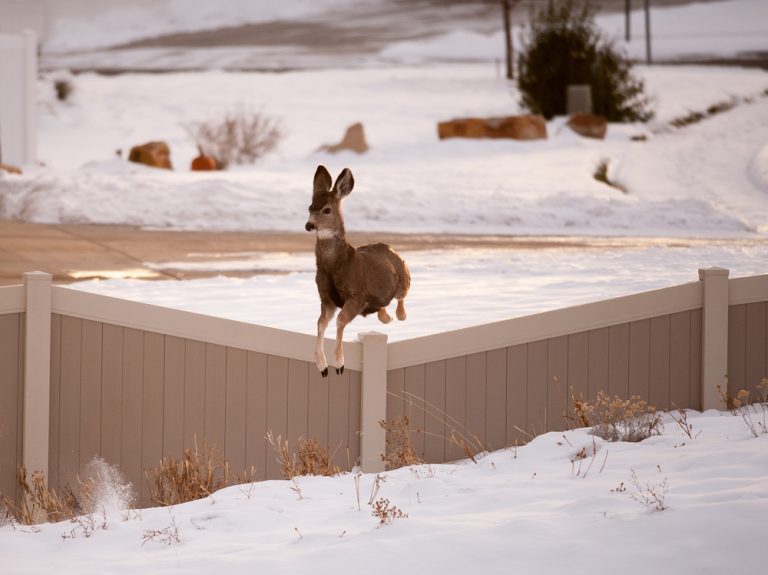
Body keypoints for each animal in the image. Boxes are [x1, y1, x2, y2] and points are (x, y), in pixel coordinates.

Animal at [305, 165, 410, 378]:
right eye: (309, 207)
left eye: (326, 209)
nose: (309, 225)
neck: (335, 266)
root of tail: (389, 247)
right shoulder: (326, 297)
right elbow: (320, 323)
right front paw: (323, 367)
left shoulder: (356, 295)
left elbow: (340, 321)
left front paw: (339, 364)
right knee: (383, 306)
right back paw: (386, 317)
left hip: (404, 275)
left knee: (402, 295)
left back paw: (400, 315)